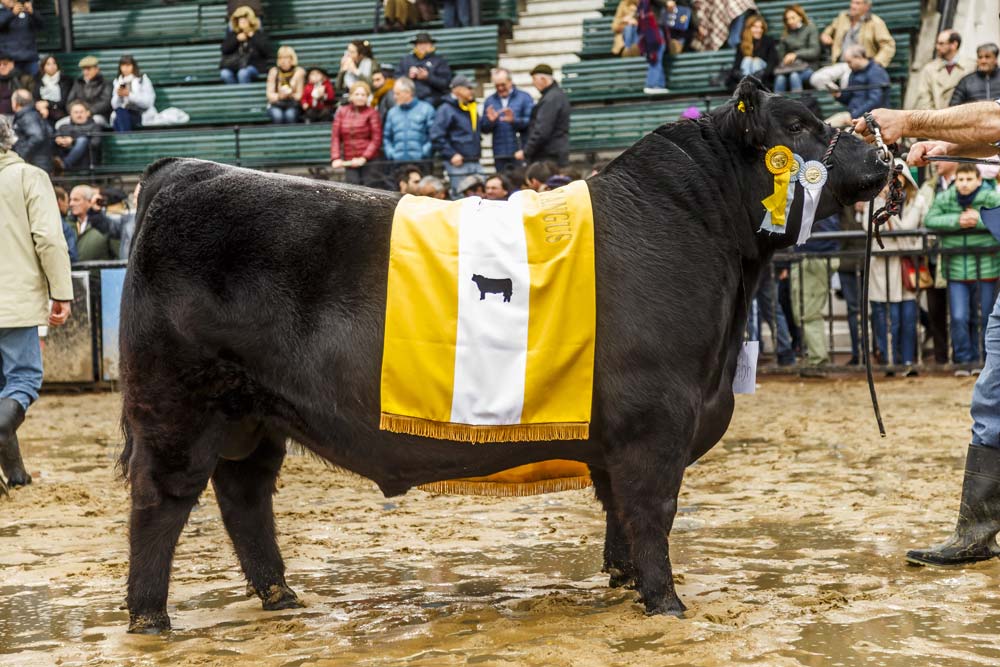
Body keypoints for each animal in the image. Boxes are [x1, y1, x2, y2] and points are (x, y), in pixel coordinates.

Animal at [117, 78, 892, 632]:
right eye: (800, 128)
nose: (884, 155)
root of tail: (184, 171)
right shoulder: (656, 422)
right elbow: (652, 510)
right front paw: (666, 602)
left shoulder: (619, 437)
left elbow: (618, 514)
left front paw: (622, 584)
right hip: (179, 404)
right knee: (162, 499)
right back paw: (151, 615)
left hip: (253, 414)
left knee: (244, 495)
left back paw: (280, 594)